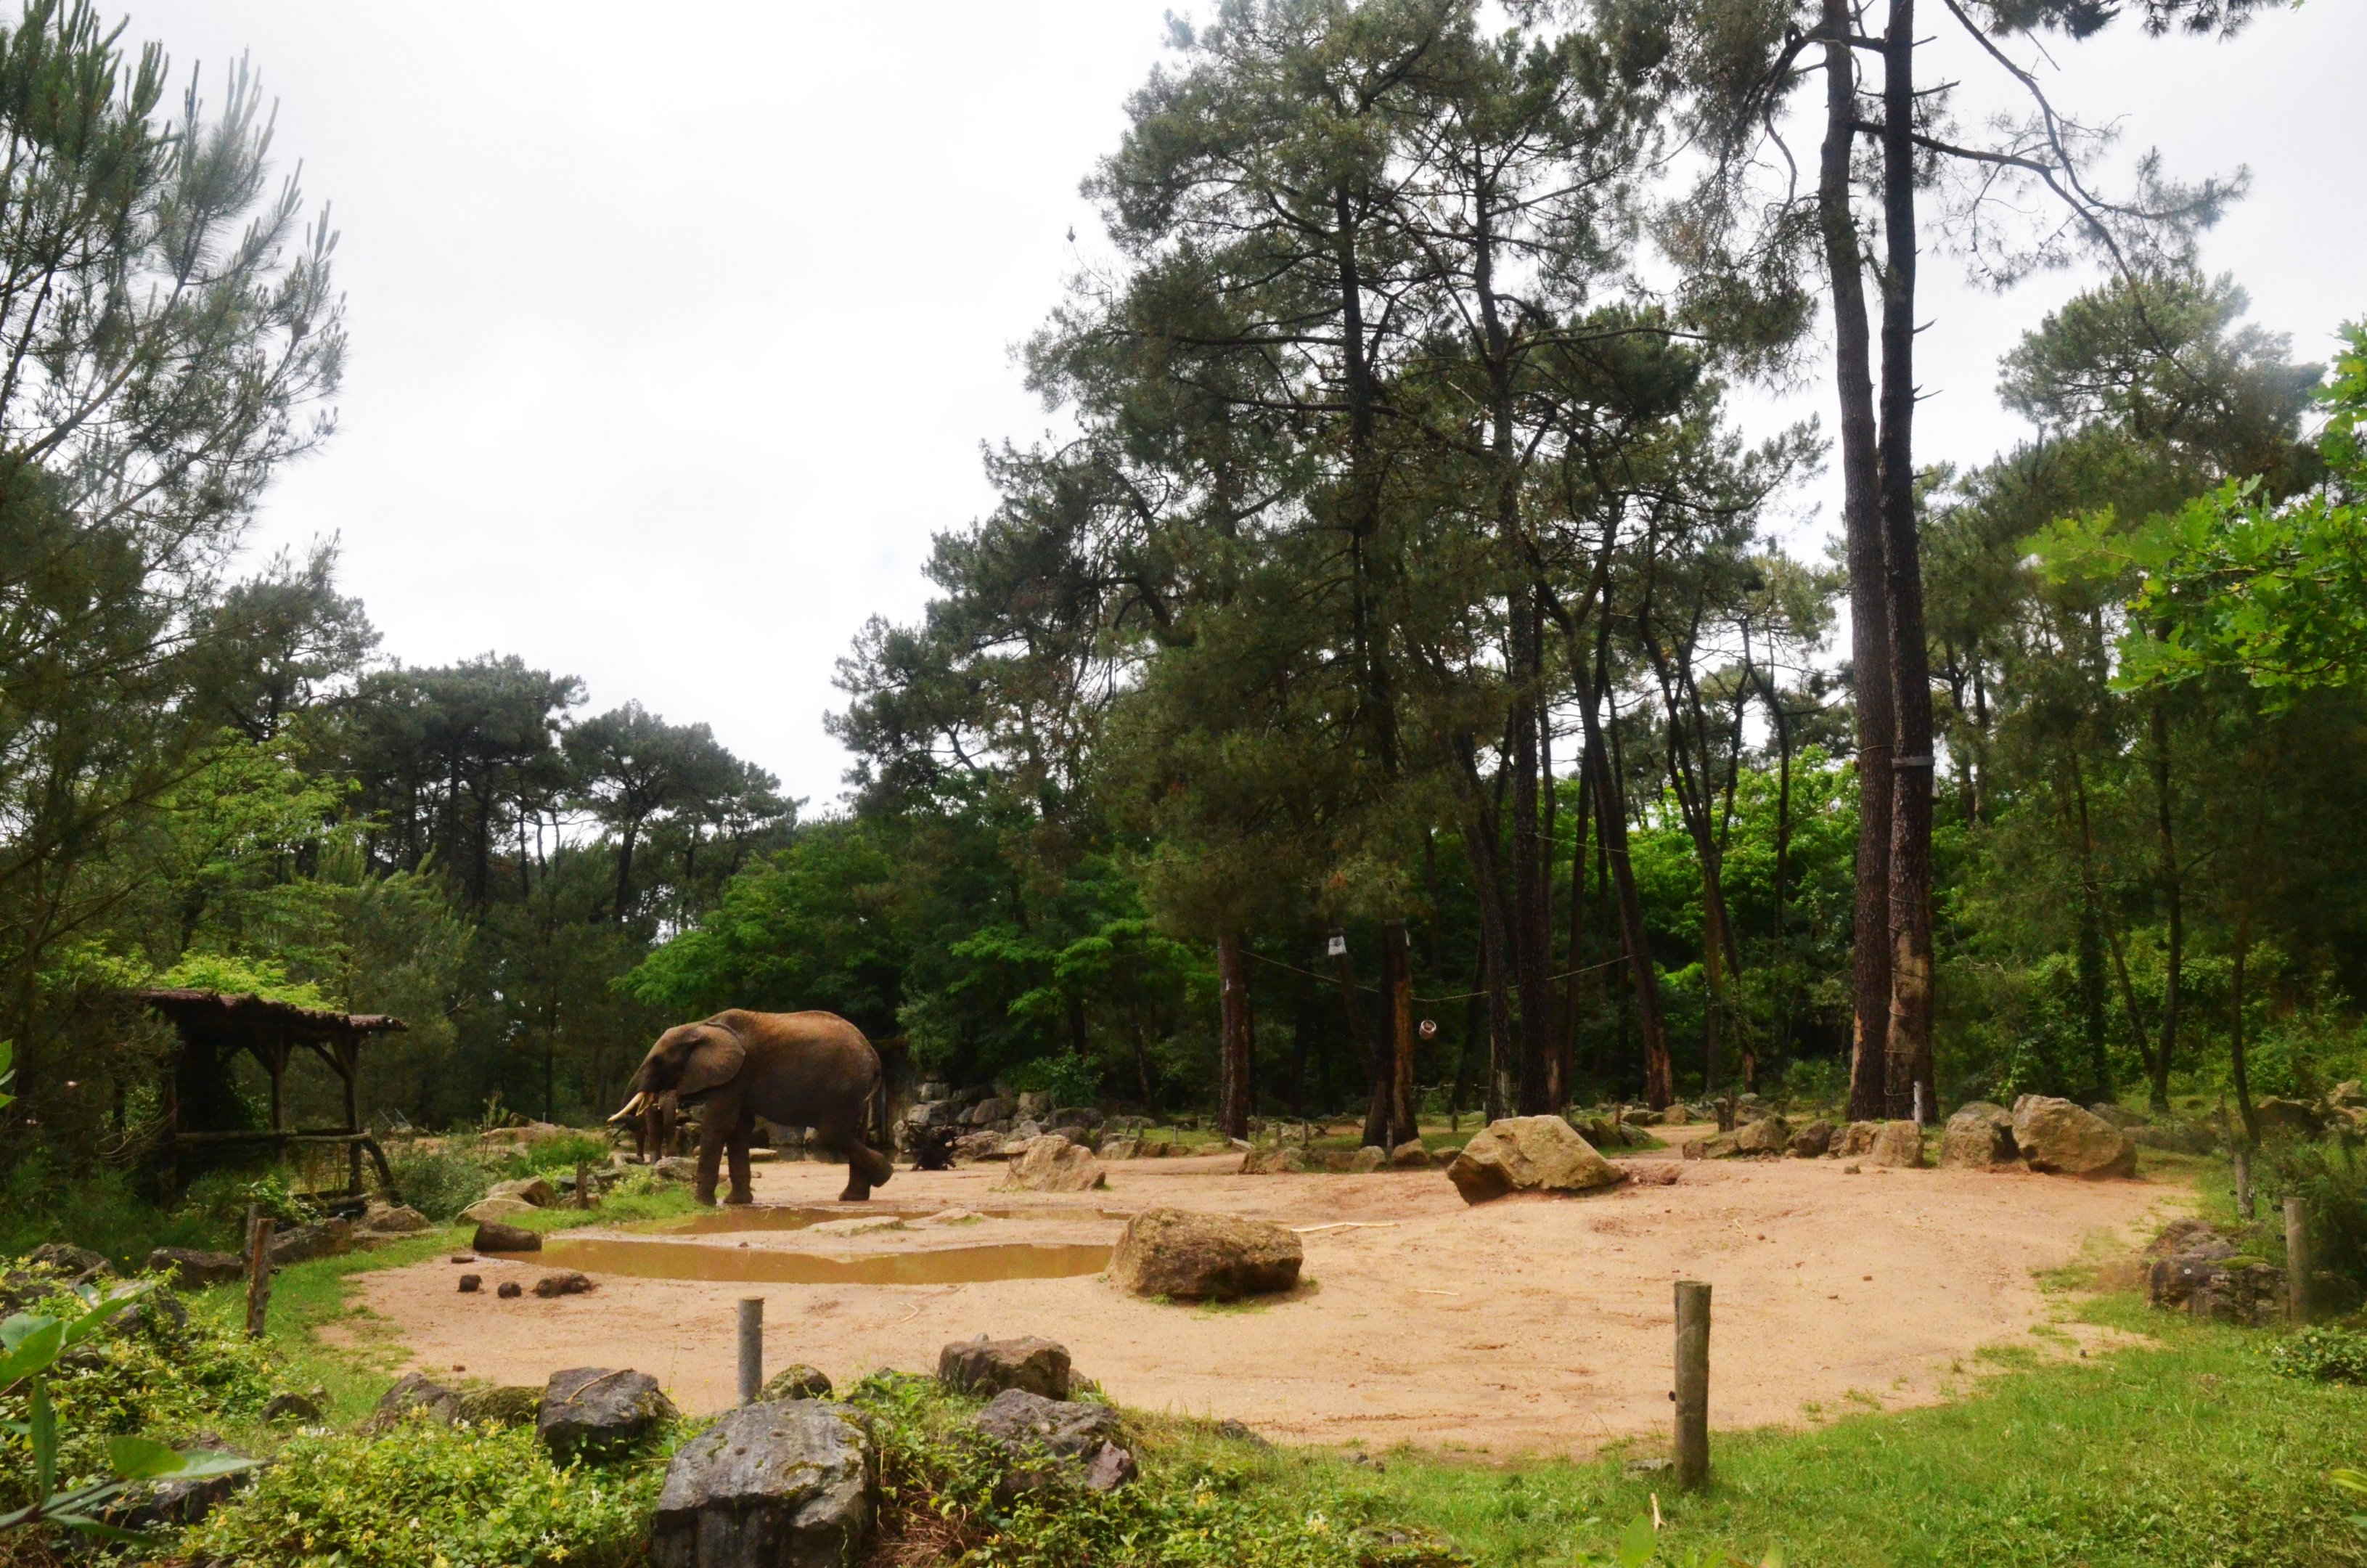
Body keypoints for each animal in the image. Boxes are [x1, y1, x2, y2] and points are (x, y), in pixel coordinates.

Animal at [610, 1009, 893, 1205]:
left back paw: (883, 1176)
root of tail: (874, 1055)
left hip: (844, 1088)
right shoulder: (738, 1076)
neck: (701, 1026)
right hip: (857, 1089)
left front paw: (701, 1203)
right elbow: (738, 1129)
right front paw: (736, 1203)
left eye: (657, 1061)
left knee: (833, 1134)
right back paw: (855, 1196)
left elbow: (719, 1124)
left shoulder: (737, 1073)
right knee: (853, 1134)